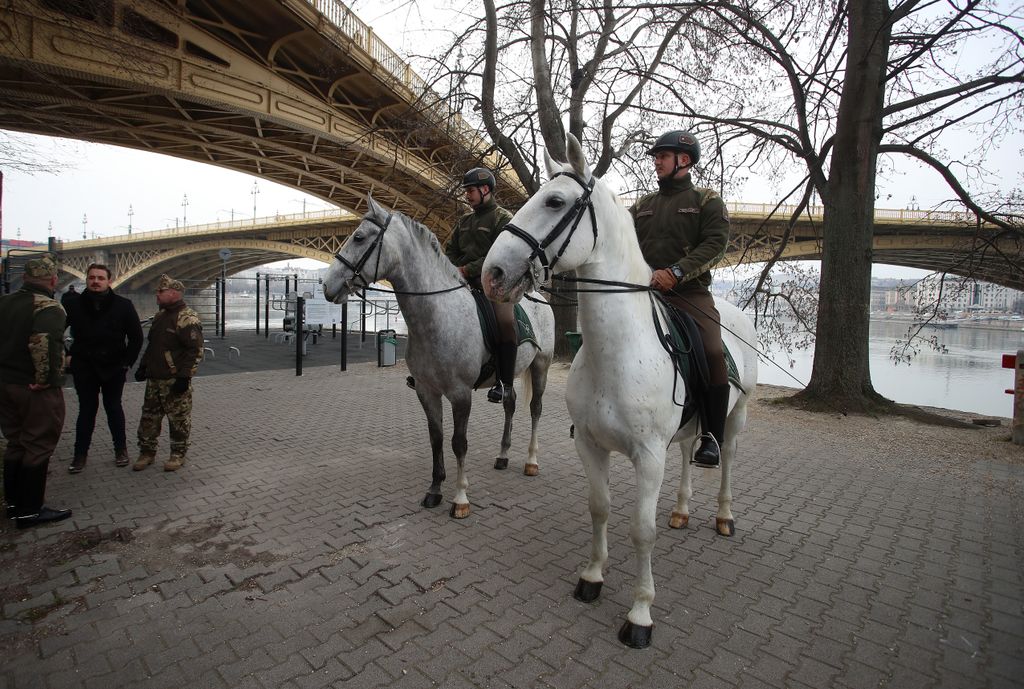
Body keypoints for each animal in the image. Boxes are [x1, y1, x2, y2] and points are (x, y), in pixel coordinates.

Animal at [323, 196, 557, 518]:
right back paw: (503, 455)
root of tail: (540, 298)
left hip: (541, 365)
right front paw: (434, 490)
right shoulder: (426, 390)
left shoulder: (460, 394)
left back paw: (531, 461)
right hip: (509, 374)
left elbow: (459, 443)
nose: (327, 286)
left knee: (535, 409)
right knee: (509, 404)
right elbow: (436, 437)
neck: (438, 315)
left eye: (358, 238)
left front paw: (460, 498)